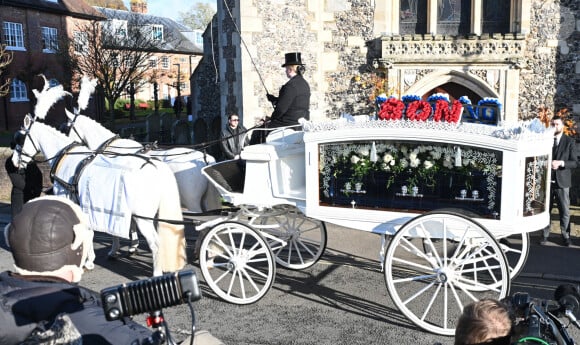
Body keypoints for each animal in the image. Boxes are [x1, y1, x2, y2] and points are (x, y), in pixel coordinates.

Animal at [12, 114, 187, 276]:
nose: (14, 162)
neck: (66, 158)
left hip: (143, 218)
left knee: (156, 243)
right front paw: (91, 259)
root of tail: (156, 166)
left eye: (20, 139)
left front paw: (85, 261)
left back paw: (156, 274)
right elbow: (91, 232)